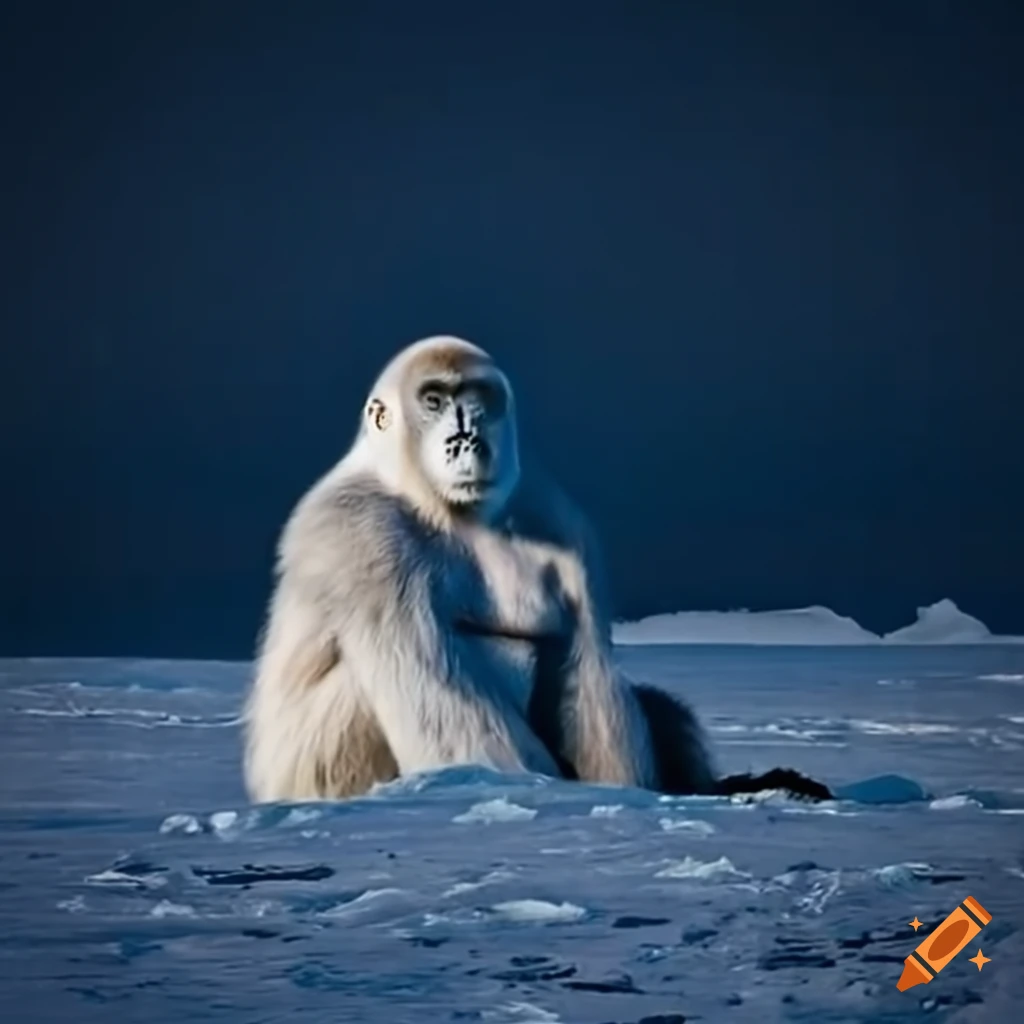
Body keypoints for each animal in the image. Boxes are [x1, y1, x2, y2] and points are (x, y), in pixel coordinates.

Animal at [242, 335, 832, 804]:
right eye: (433, 401)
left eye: (478, 401)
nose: (464, 437)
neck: (443, 506)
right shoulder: (360, 533)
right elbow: (436, 684)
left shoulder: (558, 525)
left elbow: (585, 673)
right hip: (310, 762)